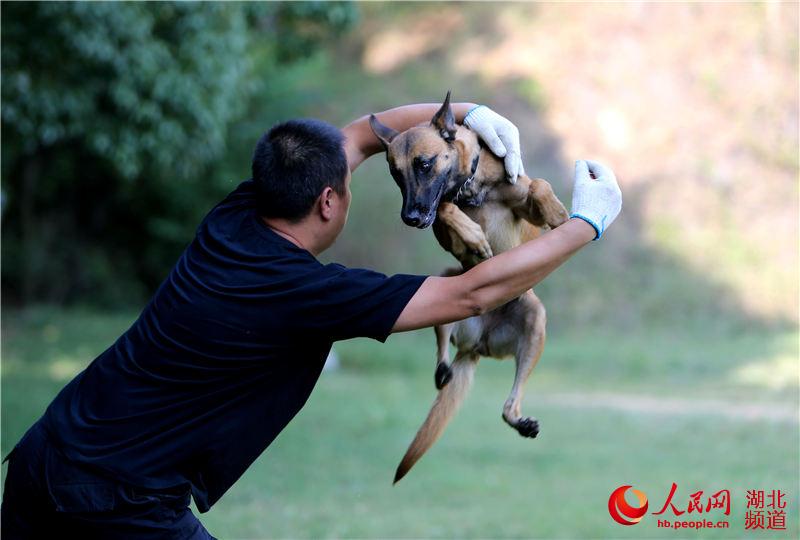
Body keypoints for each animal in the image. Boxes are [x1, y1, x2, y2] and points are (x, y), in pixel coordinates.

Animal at [368, 90, 568, 484]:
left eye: (424, 164)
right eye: (395, 173)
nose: (410, 217)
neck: (472, 188)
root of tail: (477, 345)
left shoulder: (524, 204)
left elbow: (539, 186)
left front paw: (557, 213)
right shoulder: (443, 230)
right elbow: (446, 209)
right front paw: (474, 236)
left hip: (535, 318)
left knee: (509, 404)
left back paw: (519, 420)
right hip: (447, 278)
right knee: (443, 344)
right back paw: (444, 367)